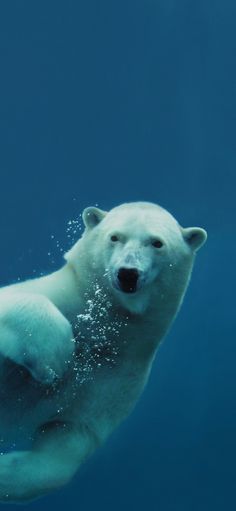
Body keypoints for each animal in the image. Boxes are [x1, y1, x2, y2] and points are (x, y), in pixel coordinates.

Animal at [0, 202, 206, 502]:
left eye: (156, 242)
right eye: (115, 237)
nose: (128, 273)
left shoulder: (114, 377)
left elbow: (66, 444)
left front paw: (4, 469)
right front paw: (56, 358)